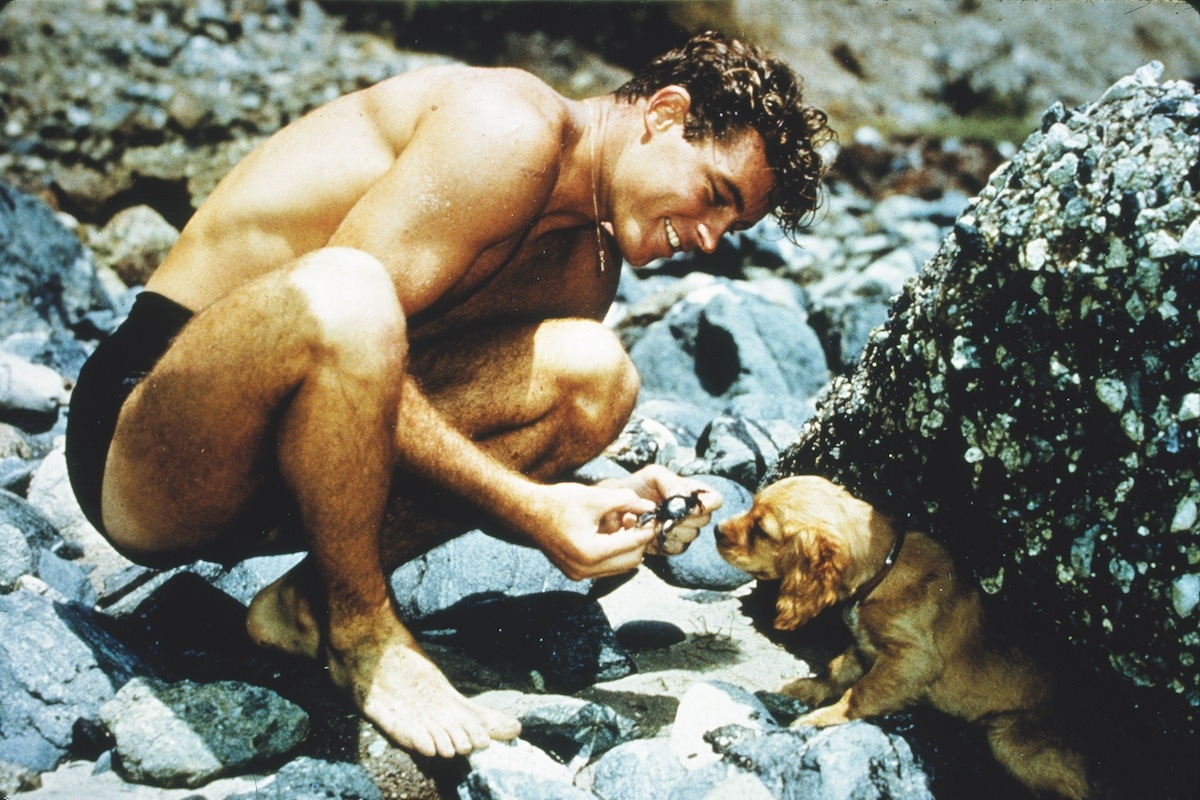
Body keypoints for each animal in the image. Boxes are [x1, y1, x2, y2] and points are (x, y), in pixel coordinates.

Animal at [710, 479, 1099, 796]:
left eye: (761, 530)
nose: (715, 529)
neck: (884, 569)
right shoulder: (863, 644)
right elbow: (837, 669)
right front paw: (801, 689)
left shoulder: (912, 659)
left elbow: (860, 692)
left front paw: (824, 717)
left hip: (1010, 738)